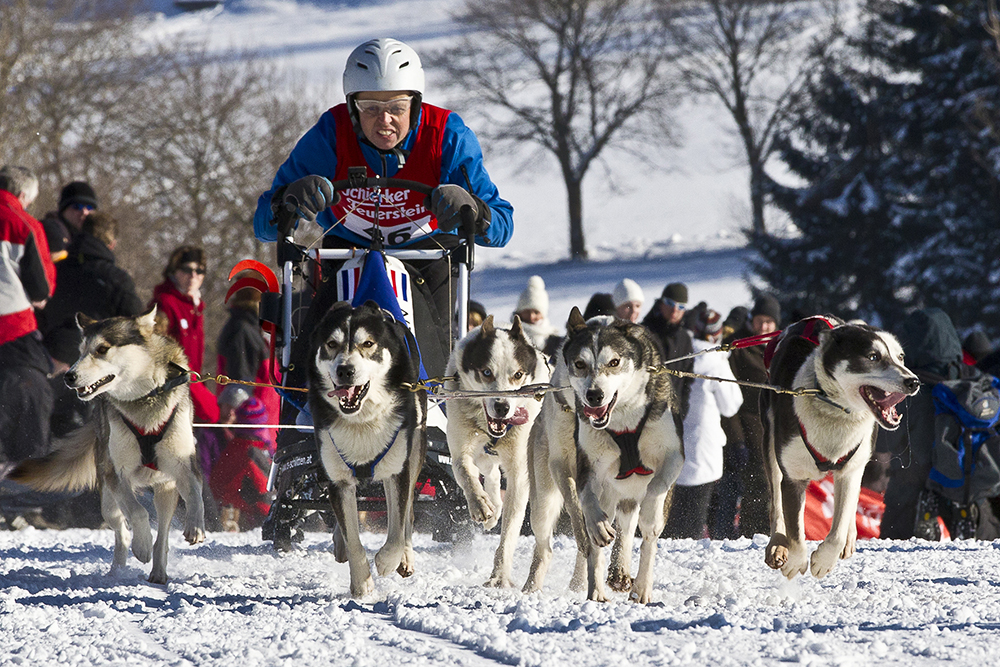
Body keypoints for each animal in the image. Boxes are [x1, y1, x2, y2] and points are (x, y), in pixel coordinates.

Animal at [7, 310, 207, 584]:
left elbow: (196, 492)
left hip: (166, 491)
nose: (69, 376)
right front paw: (141, 545)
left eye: (102, 349)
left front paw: (196, 526)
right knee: (122, 533)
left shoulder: (184, 465)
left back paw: (158, 571)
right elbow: (138, 513)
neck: (144, 398)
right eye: (81, 350)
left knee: (163, 534)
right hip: (108, 501)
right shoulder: (117, 474)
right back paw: (118, 570)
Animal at [306, 300, 428, 596]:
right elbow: (353, 539)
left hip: (412, 455)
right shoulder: (338, 480)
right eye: (331, 344)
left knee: (406, 516)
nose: (345, 370)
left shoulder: (398, 471)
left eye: (368, 343)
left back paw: (405, 558)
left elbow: (396, 530)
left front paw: (386, 561)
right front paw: (361, 585)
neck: (361, 420)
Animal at [448, 316, 552, 588]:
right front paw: (480, 505)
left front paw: (499, 576)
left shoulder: (520, 473)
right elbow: (466, 473)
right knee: (491, 475)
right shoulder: (460, 451)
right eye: (486, 372)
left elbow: (509, 532)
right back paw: (492, 507)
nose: (503, 406)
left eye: (518, 375)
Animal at [560, 310, 684, 604]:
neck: (624, 419)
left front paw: (649, 516)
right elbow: (588, 498)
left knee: (640, 534)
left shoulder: (673, 456)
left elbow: (655, 492)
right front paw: (598, 525)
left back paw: (640, 587)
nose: (594, 395)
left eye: (614, 362)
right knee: (604, 539)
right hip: (610, 490)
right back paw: (597, 589)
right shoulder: (587, 466)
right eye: (579, 364)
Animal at [764, 318, 920, 580]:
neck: (835, 408)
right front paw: (796, 560)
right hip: (771, 447)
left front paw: (824, 559)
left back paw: (849, 537)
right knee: (776, 501)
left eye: (900, 357)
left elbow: (838, 528)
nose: (914, 381)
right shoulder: (794, 477)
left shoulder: (850, 471)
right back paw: (777, 543)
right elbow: (795, 531)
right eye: (873, 356)